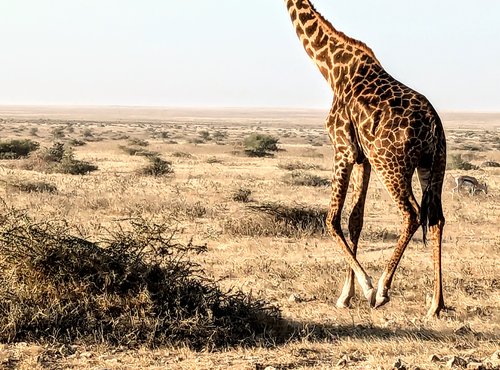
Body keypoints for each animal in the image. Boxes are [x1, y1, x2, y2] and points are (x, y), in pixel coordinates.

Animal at [284, 0, 448, 318]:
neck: (333, 67)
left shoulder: (343, 148)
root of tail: (433, 124)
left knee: (412, 213)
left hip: (392, 164)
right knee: (436, 219)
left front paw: (367, 288)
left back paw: (383, 289)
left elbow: (332, 219)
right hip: (433, 166)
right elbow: (355, 220)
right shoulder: (364, 159)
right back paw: (436, 305)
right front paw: (346, 295)